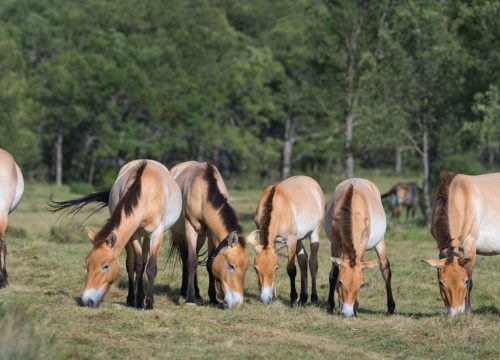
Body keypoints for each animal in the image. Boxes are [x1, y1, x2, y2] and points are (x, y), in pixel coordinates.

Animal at [48, 160, 182, 310]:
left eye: (106, 266)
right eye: (87, 263)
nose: (87, 301)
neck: (147, 193)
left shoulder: (157, 233)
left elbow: (151, 267)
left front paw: (149, 303)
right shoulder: (134, 233)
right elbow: (138, 264)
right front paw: (138, 301)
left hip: (147, 236)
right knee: (132, 263)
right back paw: (131, 299)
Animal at [171, 162, 250, 308]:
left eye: (246, 267)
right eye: (231, 266)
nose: (237, 302)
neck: (203, 192)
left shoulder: (211, 234)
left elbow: (209, 263)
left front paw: (213, 298)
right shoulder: (191, 229)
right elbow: (191, 262)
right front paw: (190, 299)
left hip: (200, 238)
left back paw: (197, 293)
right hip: (179, 234)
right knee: (186, 258)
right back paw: (185, 292)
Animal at [249, 176, 324, 306]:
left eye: (276, 268)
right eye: (255, 268)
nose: (265, 298)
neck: (278, 206)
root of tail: (314, 183)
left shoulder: (291, 240)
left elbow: (291, 269)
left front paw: (293, 299)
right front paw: (273, 297)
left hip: (314, 234)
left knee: (313, 263)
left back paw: (314, 298)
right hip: (299, 239)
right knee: (303, 261)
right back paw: (303, 298)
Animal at [324, 179, 394, 316]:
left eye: (361, 285)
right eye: (340, 282)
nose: (347, 313)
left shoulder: (362, 244)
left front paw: (355, 308)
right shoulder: (335, 244)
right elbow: (334, 272)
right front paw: (330, 306)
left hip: (380, 242)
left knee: (385, 269)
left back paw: (391, 307)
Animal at [422, 172, 500, 316]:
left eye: (465, 281)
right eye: (441, 283)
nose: (455, 312)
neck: (461, 197)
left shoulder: (470, 246)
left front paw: (467, 311)